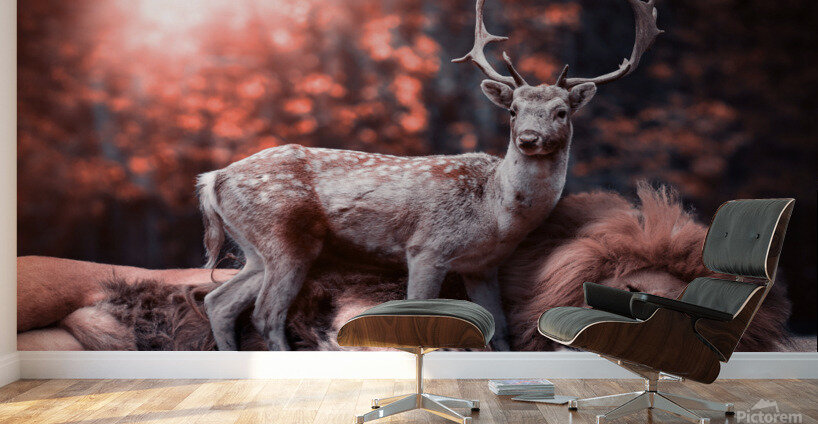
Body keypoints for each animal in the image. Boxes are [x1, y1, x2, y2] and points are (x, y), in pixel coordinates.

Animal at [196, 0, 663, 351]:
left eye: (561, 112)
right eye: (513, 111)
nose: (529, 138)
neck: (496, 214)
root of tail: (213, 179)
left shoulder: (484, 266)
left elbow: (500, 332)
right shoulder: (426, 247)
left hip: (256, 248)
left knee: (219, 300)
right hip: (285, 236)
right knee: (266, 313)